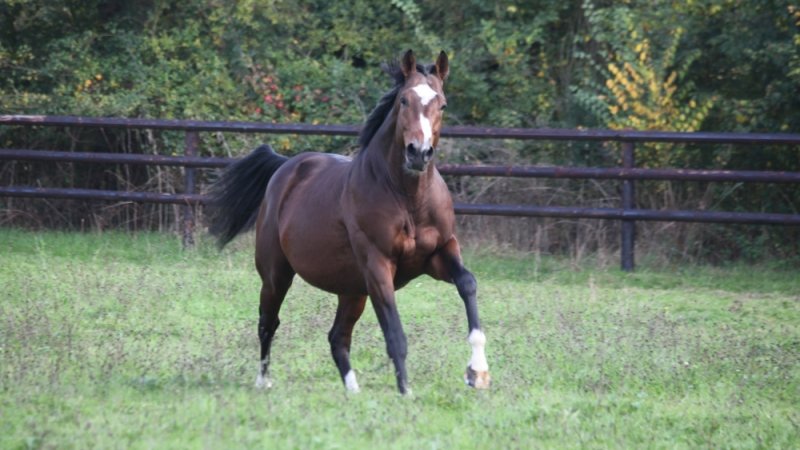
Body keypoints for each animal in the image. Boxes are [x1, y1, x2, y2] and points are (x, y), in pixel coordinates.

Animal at [208, 50, 490, 394]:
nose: (418, 153)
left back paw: (352, 391)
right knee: (268, 322)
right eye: (404, 101)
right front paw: (406, 393)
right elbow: (395, 334)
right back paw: (264, 382)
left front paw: (478, 372)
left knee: (337, 337)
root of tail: (285, 167)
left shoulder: (438, 254)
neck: (408, 199)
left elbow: (468, 283)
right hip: (277, 274)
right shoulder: (378, 266)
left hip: (352, 289)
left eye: (443, 104)